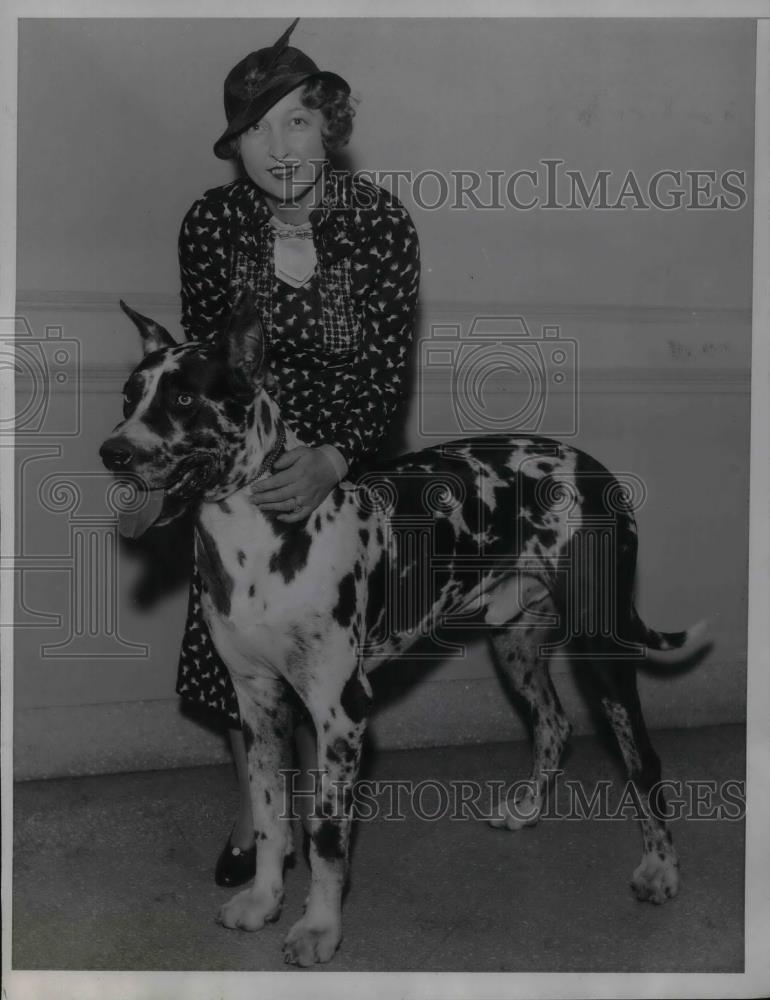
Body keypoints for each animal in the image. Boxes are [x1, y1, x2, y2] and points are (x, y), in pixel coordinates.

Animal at [102, 298, 708, 968]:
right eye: (129, 396)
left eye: (184, 399)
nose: (114, 452)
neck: (258, 539)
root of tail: (597, 470)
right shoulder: (258, 702)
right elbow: (268, 814)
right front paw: (264, 901)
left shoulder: (340, 711)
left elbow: (327, 834)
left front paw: (319, 927)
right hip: (515, 643)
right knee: (553, 725)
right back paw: (526, 810)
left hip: (603, 649)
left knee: (642, 759)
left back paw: (659, 868)